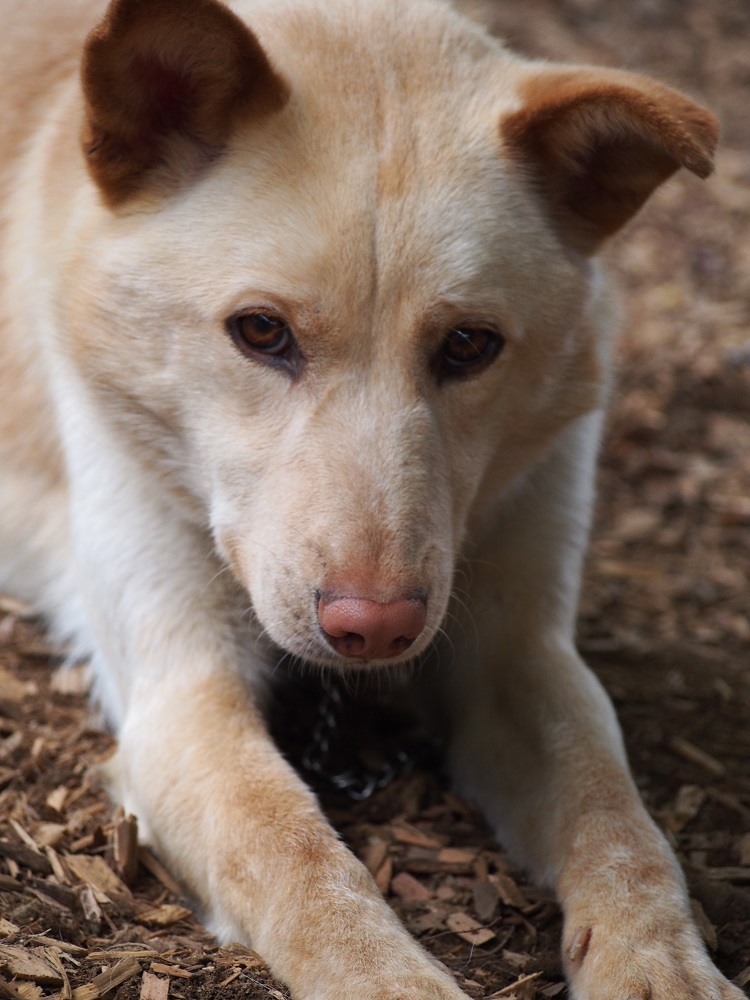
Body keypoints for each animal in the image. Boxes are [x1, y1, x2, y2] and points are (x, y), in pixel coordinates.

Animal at [0, 0, 740, 996]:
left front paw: (660, 964)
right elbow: (297, 857)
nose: (376, 630)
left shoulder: (518, 652)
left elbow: (618, 819)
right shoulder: (184, 692)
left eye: (468, 345)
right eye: (260, 331)